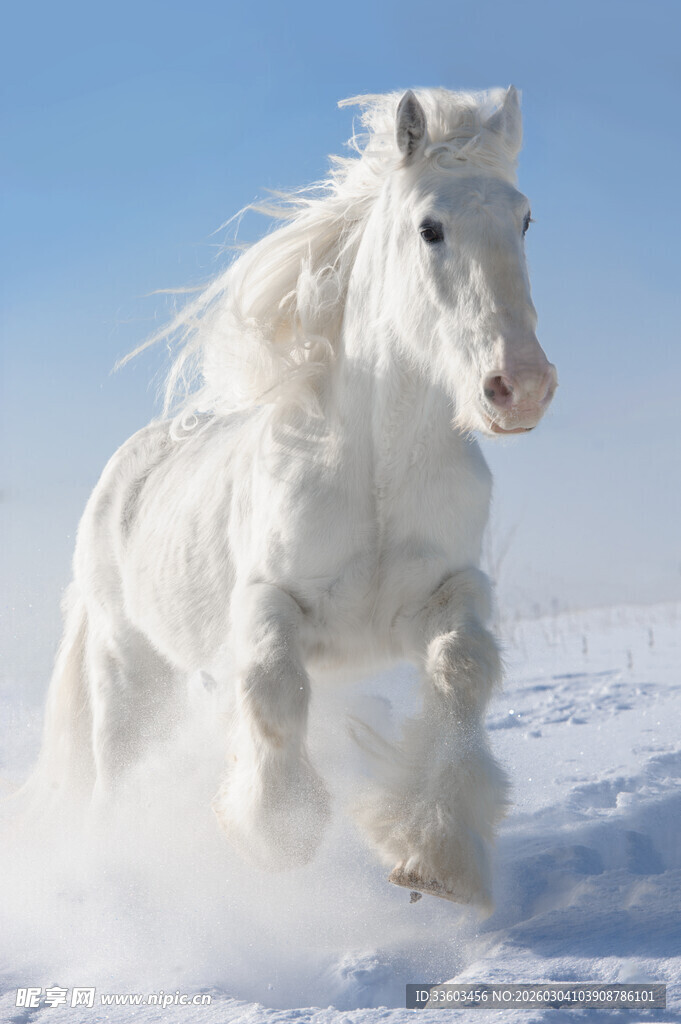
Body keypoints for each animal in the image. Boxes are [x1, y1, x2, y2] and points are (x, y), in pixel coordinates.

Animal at [26, 86, 557, 912]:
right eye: (429, 227)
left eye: (523, 219)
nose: (520, 387)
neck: (374, 473)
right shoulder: (269, 600)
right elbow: (273, 686)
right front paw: (276, 833)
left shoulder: (447, 591)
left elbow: (462, 669)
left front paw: (434, 856)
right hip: (127, 667)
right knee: (118, 774)